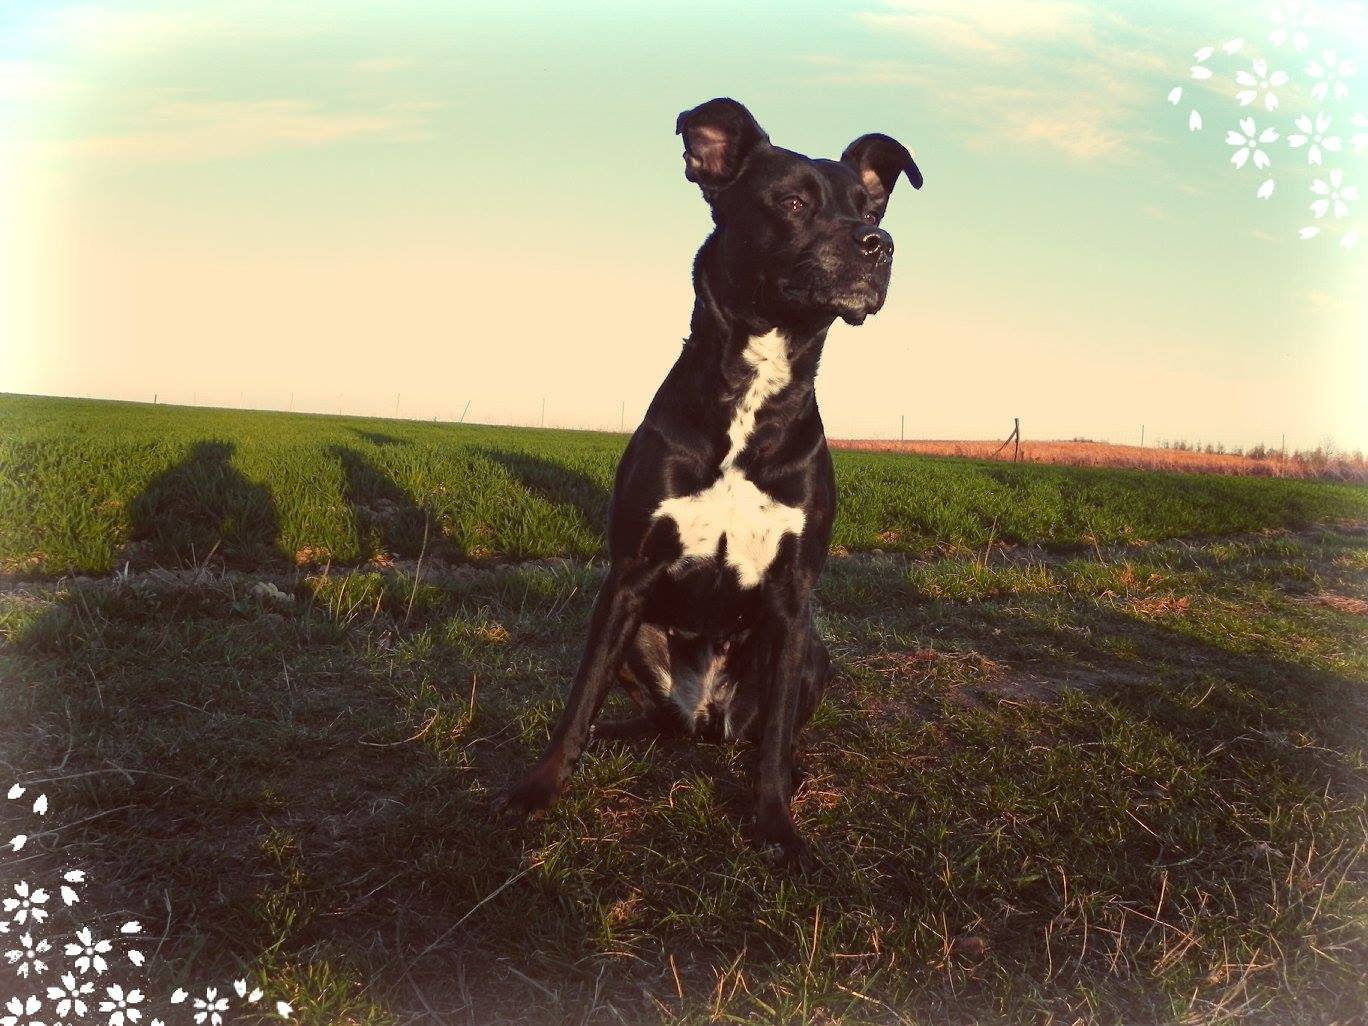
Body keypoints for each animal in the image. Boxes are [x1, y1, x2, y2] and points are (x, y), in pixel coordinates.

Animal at [497, 100, 924, 864]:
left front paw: (777, 824)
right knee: (646, 717)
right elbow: (580, 697)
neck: (754, 391)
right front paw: (540, 787)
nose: (879, 243)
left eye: (868, 205)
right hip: (638, 632)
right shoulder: (628, 575)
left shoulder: (792, 597)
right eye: (792, 202)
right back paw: (619, 735)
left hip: (813, 653)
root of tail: (705, 718)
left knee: (763, 734)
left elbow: (777, 734)